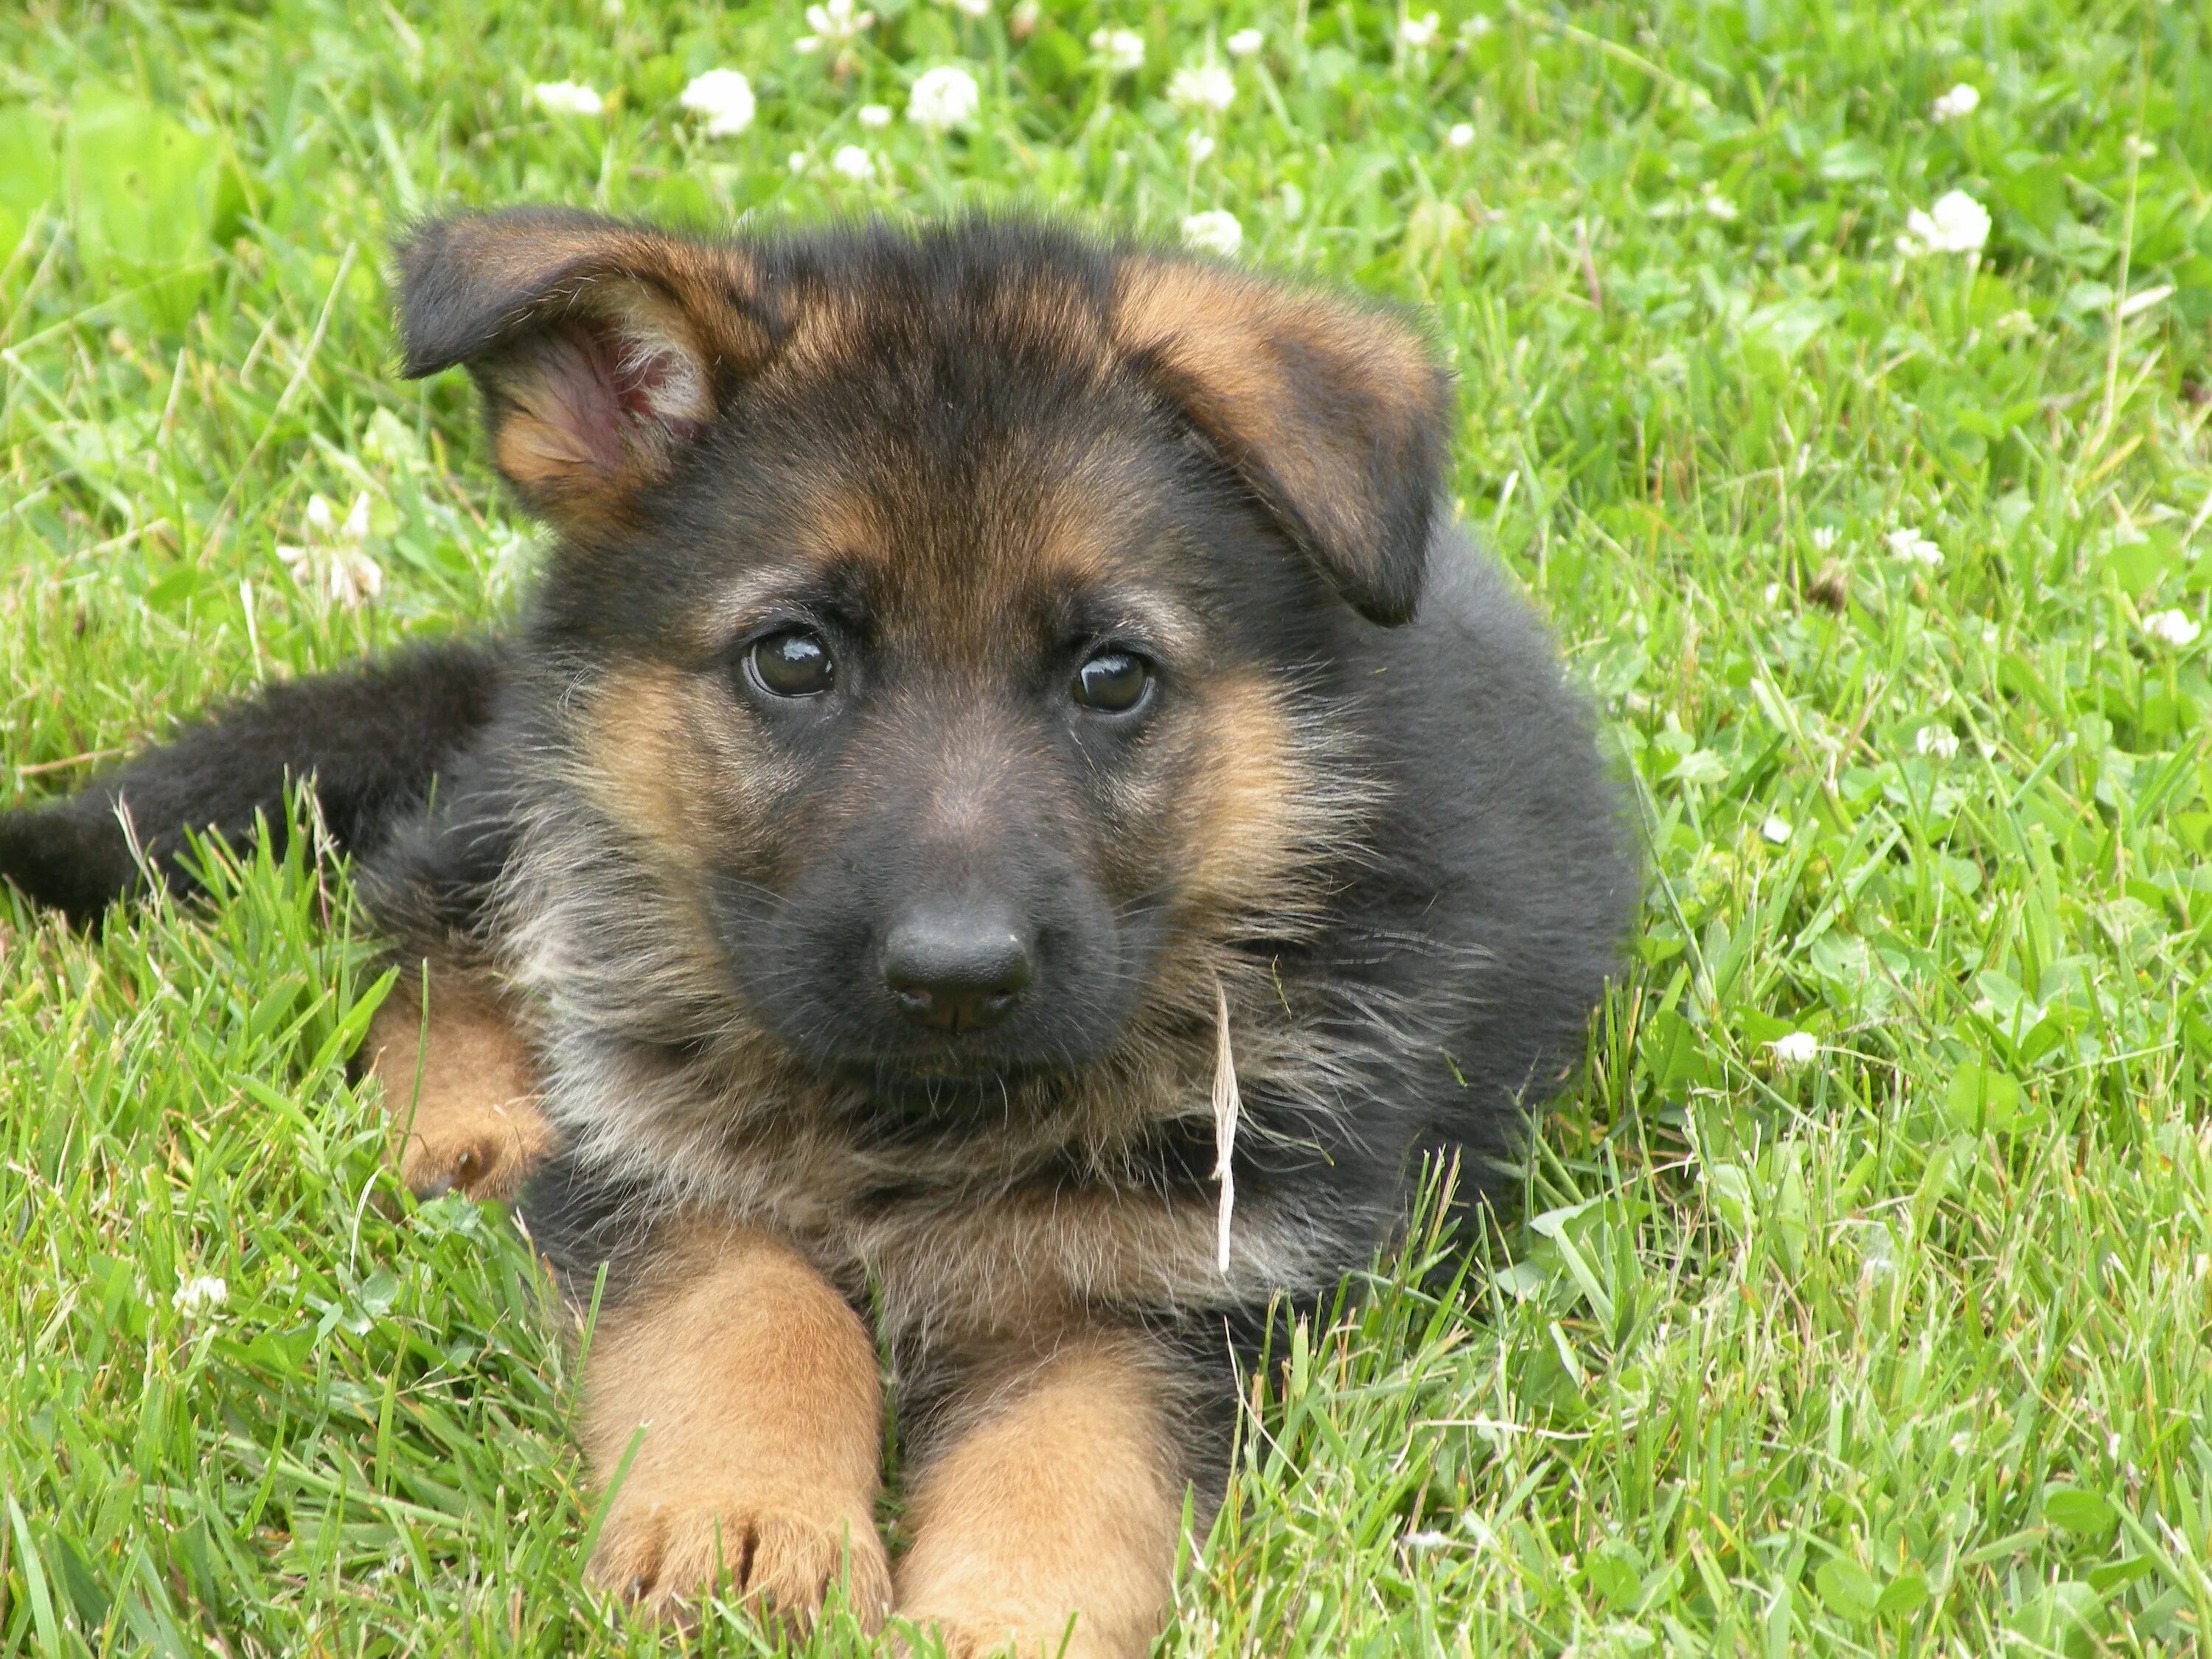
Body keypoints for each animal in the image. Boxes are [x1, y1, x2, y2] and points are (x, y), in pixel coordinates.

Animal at [0, 215, 1628, 1655]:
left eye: (1113, 677)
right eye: (794, 659)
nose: (956, 979)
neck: (916, 1120)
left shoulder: (1187, 1288)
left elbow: (1073, 1449)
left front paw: (1007, 1619)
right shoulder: (656, 1169)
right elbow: (756, 1305)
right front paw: (745, 1521)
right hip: (541, 812)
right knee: (418, 903)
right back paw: (477, 1120)